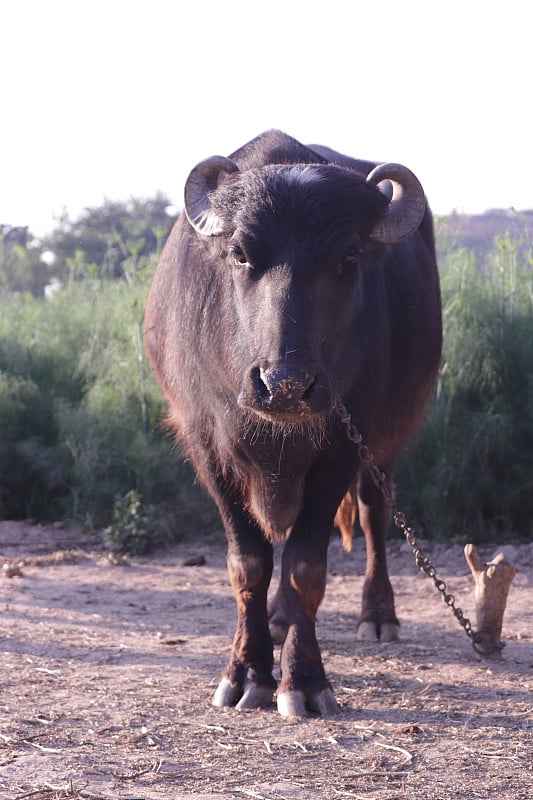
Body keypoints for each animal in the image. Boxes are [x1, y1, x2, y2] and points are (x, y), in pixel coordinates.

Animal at [143, 128, 442, 716]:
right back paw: (278, 620)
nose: (285, 384)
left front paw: (302, 680)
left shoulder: (345, 443)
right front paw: (246, 673)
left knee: (373, 512)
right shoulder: (206, 443)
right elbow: (249, 563)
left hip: (384, 442)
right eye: (240, 254)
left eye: (349, 257)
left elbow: (307, 566)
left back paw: (377, 614)